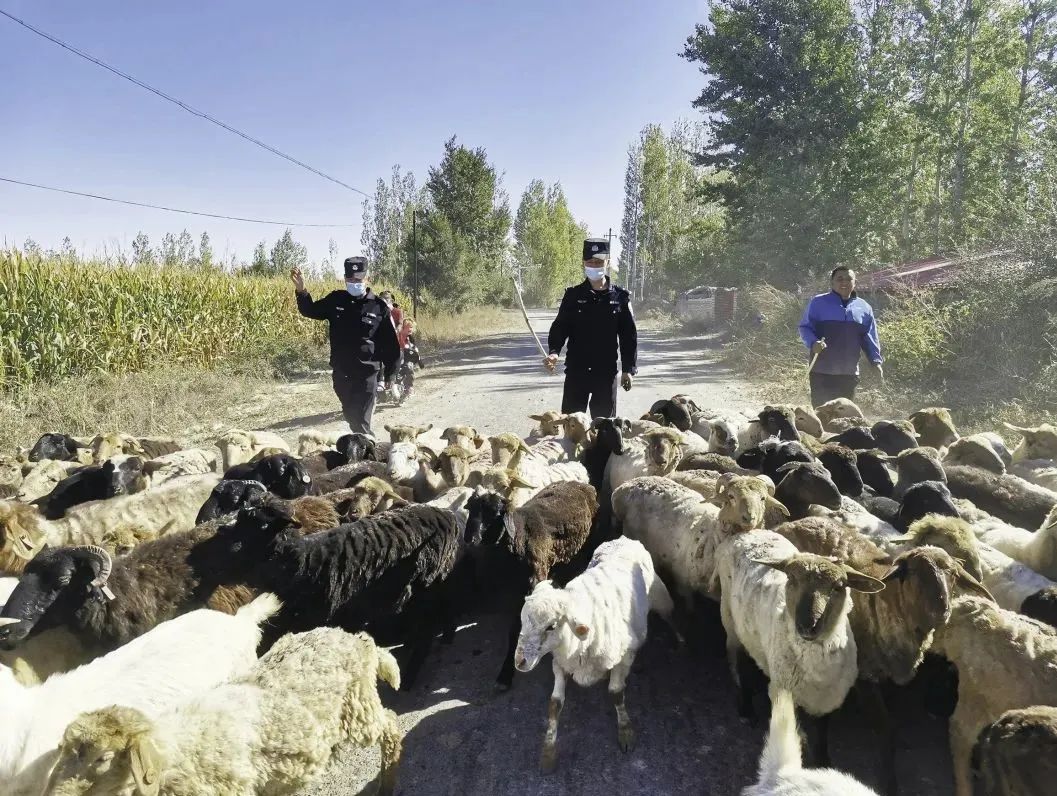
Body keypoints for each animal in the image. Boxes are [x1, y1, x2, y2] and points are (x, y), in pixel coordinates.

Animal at [43, 625, 401, 794]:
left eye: (102, 759)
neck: (176, 754)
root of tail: (351, 636)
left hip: (358, 710)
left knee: (391, 724)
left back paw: (386, 783)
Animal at [513, 537, 676, 773]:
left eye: (551, 626)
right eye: (522, 621)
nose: (519, 661)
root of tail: (624, 539)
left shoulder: (623, 657)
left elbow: (616, 693)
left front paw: (625, 730)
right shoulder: (561, 664)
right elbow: (554, 705)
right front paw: (548, 752)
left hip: (661, 596)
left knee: (670, 616)